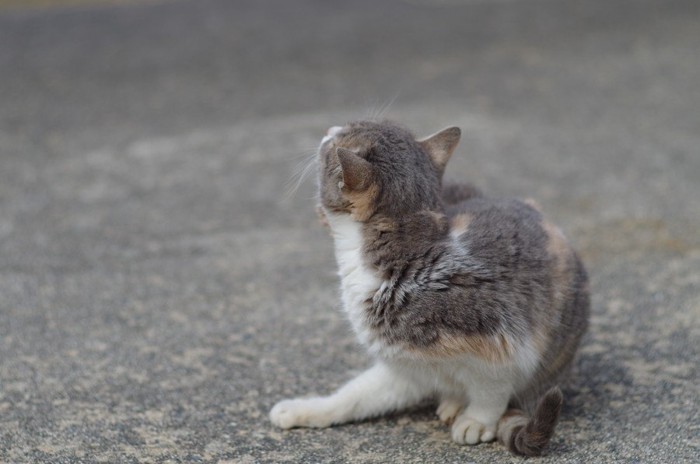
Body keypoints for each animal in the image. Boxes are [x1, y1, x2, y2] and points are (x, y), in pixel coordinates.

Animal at [270, 119, 588, 456]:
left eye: (335, 144)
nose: (329, 130)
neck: (406, 257)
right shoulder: (407, 367)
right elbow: (353, 397)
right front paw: (304, 409)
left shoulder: (506, 344)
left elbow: (492, 390)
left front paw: (477, 420)